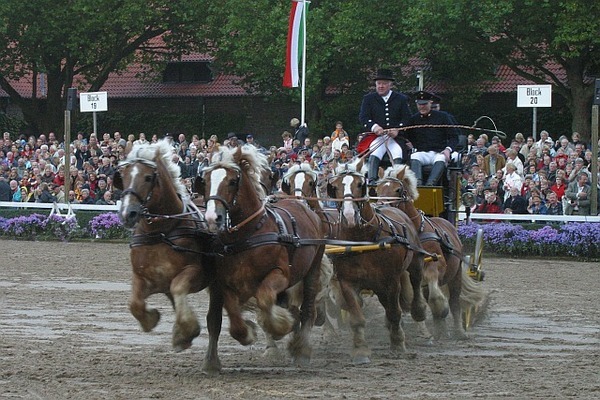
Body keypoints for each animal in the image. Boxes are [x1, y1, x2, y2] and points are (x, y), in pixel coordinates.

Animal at [113, 139, 214, 352]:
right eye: (122, 176)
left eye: (148, 177)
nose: (127, 213)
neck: (160, 232)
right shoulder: (145, 277)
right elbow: (134, 303)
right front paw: (151, 319)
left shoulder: (195, 272)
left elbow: (178, 288)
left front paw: (185, 332)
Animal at [196, 144, 328, 372]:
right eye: (205, 180)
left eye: (232, 181)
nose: (213, 218)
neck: (248, 234)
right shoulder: (224, 282)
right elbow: (230, 316)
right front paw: (246, 333)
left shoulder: (280, 275)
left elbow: (265, 297)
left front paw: (280, 327)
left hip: (313, 269)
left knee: (307, 309)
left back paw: (301, 349)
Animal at [326, 159, 428, 362]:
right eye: (334, 187)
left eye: (360, 185)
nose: (349, 216)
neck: (362, 241)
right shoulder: (347, 282)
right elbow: (356, 317)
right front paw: (360, 349)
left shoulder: (392, 280)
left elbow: (395, 312)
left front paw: (398, 343)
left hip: (414, 263)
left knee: (416, 282)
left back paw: (418, 311)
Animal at [378, 164, 486, 340]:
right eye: (377, 189)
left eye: (398, 190)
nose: (381, 207)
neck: (415, 231)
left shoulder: (437, 264)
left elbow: (435, 293)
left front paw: (440, 311)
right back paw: (438, 330)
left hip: (455, 275)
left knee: (454, 302)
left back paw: (459, 331)